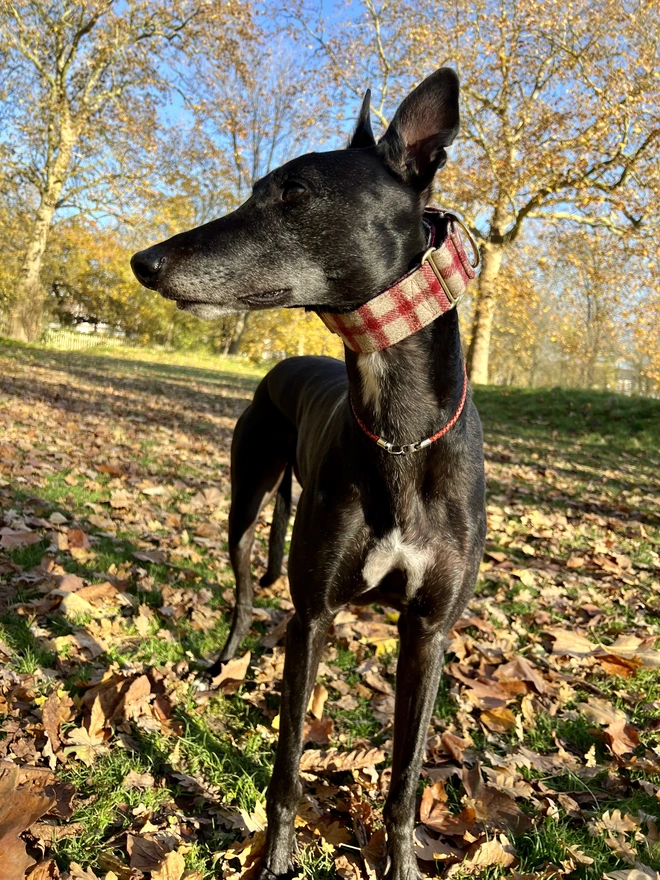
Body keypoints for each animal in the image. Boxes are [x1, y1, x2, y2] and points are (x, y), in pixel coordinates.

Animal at [133, 70, 484, 880]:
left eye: (294, 192)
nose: (145, 262)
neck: (400, 433)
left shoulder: (430, 632)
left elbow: (406, 778)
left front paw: (402, 865)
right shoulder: (313, 615)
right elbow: (288, 766)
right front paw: (276, 860)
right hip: (247, 500)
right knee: (241, 594)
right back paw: (223, 662)